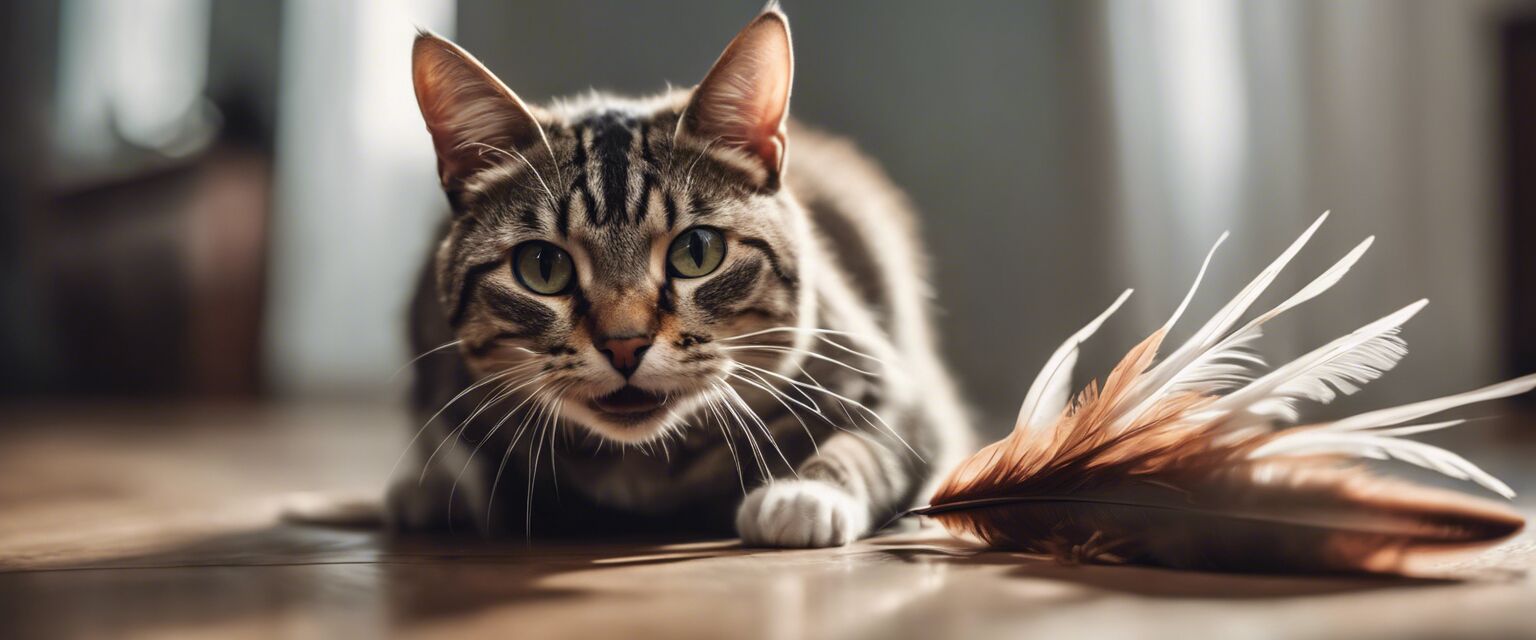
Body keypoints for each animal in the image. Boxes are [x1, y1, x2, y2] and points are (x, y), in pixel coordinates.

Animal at [393, 4, 970, 546]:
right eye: (542, 267)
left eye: (697, 252)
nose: (624, 345)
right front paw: (441, 489)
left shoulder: (903, 394)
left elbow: (865, 443)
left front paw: (803, 495)